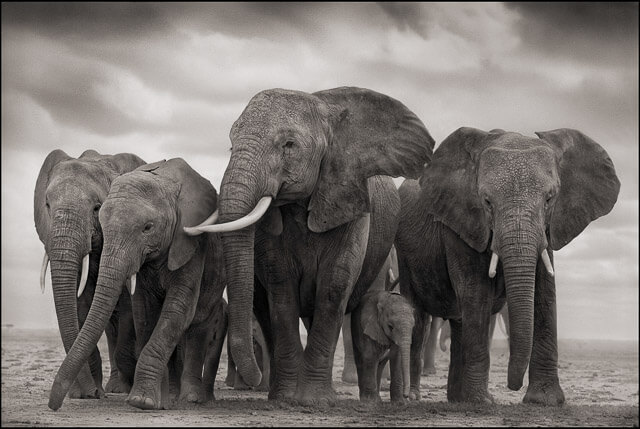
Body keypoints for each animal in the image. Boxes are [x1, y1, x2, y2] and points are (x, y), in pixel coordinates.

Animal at [34, 149, 144, 398]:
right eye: (47, 204)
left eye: (97, 208)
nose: (93, 394)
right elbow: (80, 304)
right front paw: (83, 394)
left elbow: (127, 304)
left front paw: (118, 389)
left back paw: (120, 388)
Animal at [48, 158, 228, 411]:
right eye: (101, 223)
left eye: (147, 228)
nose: (53, 406)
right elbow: (144, 312)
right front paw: (155, 401)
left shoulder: (191, 245)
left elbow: (178, 309)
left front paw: (142, 401)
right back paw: (173, 396)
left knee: (198, 325)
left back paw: (191, 399)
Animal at [185, 87, 434, 404]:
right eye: (231, 145)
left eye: (289, 144)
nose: (251, 381)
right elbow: (281, 286)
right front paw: (286, 398)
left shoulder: (349, 197)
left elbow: (334, 285)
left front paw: (314, 400)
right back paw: (276, 391)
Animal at [395, 127, 620, 405]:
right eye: (487, 202)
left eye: (549, 199)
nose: (513, 386)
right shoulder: (462, 223)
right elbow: (476, 292)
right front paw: (481, 402)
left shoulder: (548, 228)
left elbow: (544, 293)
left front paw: (544, 401)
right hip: (404, 256)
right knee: (419, 319)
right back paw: (415, 397)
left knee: (459, 322)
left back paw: (458, 399)